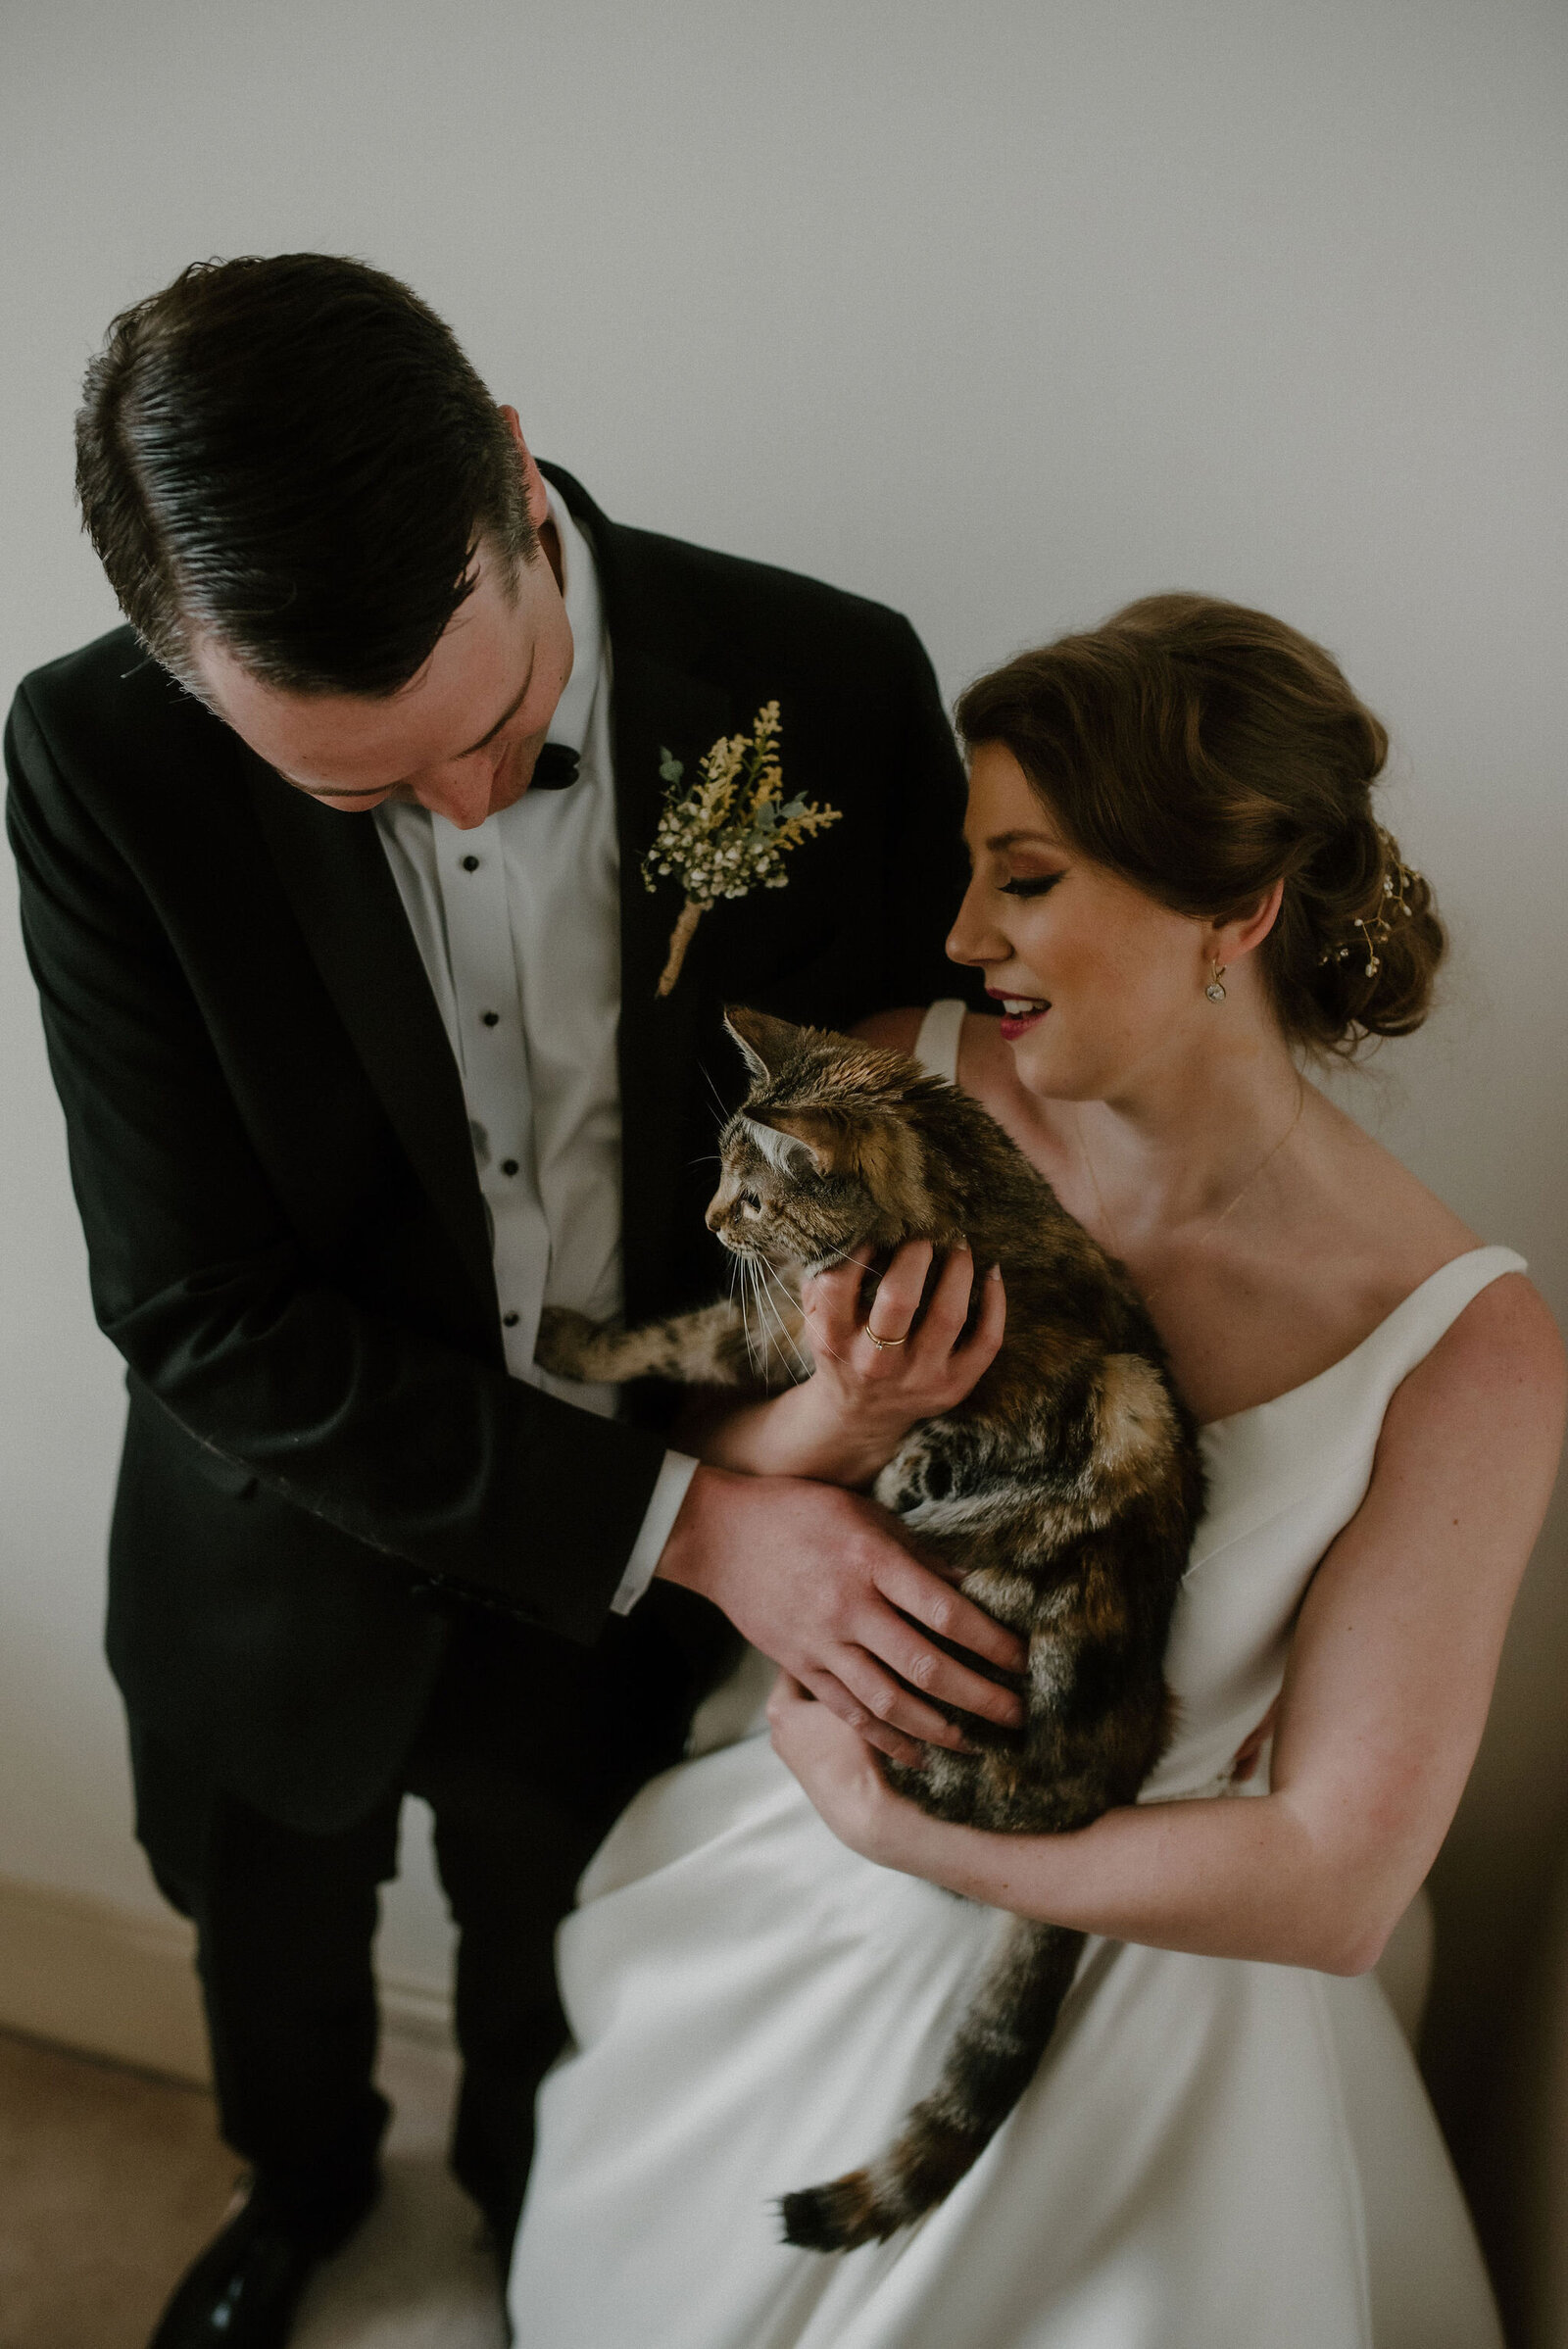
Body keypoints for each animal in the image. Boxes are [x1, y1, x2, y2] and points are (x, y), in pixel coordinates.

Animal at [532, 1009, 1210, 2255]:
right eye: (718, 1176)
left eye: (752, 1195)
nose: (709, 1222)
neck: (965, 1215)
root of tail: (1113, 1787)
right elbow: (696, 1329)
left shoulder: (806, 1331)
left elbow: (683, 1333)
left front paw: (571, 1339)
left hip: (1105, 1468)